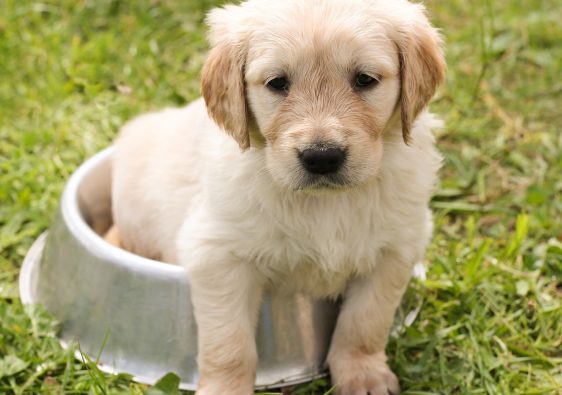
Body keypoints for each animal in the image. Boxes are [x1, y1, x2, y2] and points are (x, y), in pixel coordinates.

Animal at [108, 0, 442, 394]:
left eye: (365, 79)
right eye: (277, 83)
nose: (322, 157)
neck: (325, 202)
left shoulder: (396, 249)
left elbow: (365, 323)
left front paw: (363, 375)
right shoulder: (217, 254)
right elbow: (229, 343)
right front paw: (225, 388)